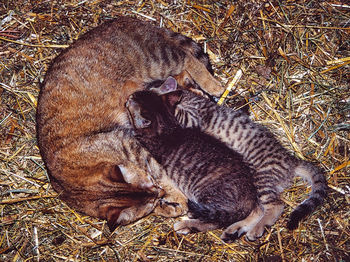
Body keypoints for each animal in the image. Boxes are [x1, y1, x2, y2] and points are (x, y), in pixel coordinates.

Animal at [35, 15, 221, 230]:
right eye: (150, 197)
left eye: (149, 182)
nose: (159, 193)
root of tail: (126, 20)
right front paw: (168, 206)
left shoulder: (132, 145)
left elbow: (164, 175)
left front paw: (179, 199)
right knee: (181, 74)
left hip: (157, 59)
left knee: (187, 58)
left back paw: (213, 85)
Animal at [125, 77, 258, 242]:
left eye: (132, 100)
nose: (128, 97)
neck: (167, 128)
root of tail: (250, 198)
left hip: (208, 195)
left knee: (214, 220)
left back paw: (185, 225)